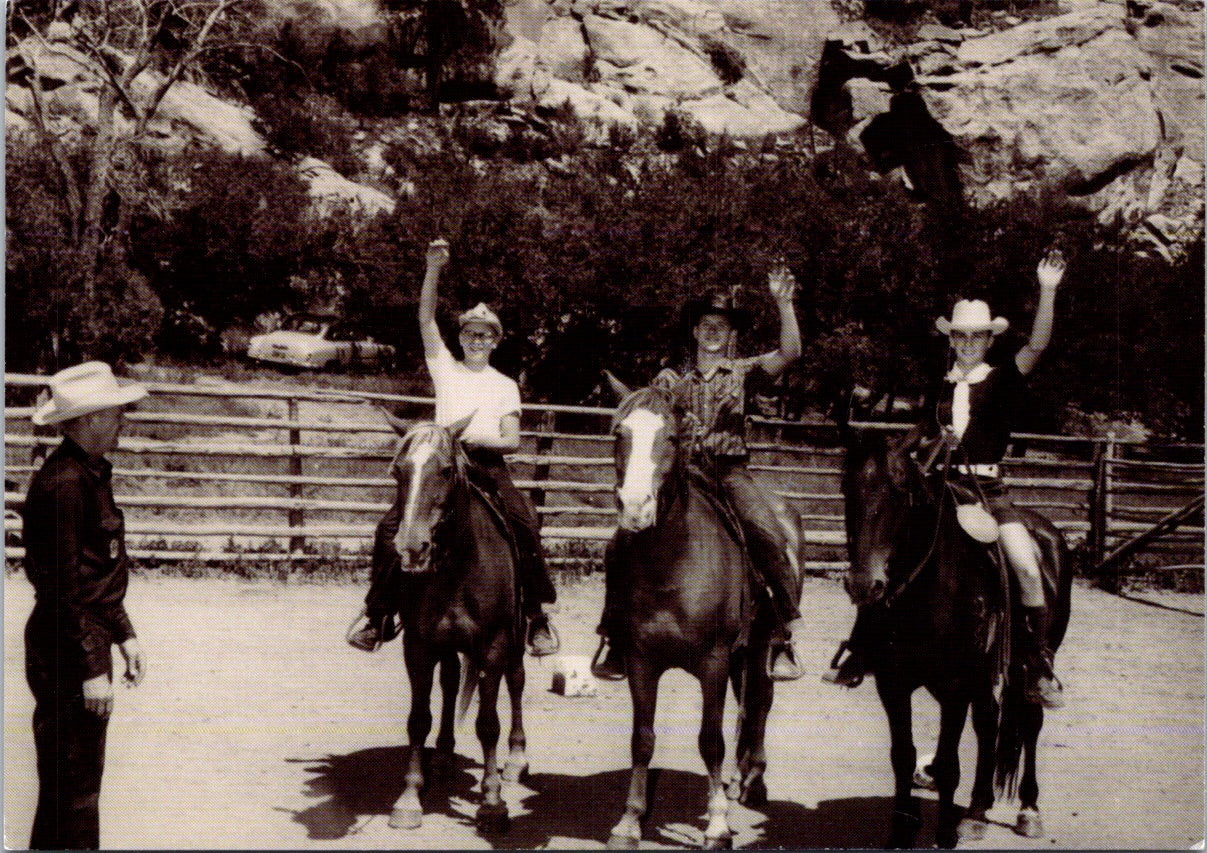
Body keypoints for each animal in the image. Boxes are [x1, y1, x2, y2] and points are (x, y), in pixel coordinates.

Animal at [376, 417, 528, 839]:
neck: (459, 567)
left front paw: (492, 803)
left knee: (517, 681)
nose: (411, 547)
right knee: (449, 682)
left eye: (445, 470)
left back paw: (516, 759)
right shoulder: (419, 646)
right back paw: (443, 755)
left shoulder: (493, 647)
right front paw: (409, 798)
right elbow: (418, 720)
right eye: (398, 470)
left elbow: (488, 725)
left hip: (517, 638)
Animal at [601, 381, 772, 853]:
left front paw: (717, 826)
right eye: (619, 434)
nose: (635, 507)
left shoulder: (713, 662)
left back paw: (751, 781)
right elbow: (642, 740)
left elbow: (710, 741)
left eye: (673, 438)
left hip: (758, 648)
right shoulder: (641, 662)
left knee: (760, 702)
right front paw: (630, 821)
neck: (673, 566)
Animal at [844, 434, 1071, 849]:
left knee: (1030, 720)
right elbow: (903, 755)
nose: (864, 584)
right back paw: (977, 811)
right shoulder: (894, 684)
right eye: (848, 490)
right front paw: (902, 828)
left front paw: (945, 833)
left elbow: (948, 762)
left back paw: (1029, 810)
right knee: (988, 722)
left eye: (901, 492)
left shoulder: (954, 686)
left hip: (1028, 666)